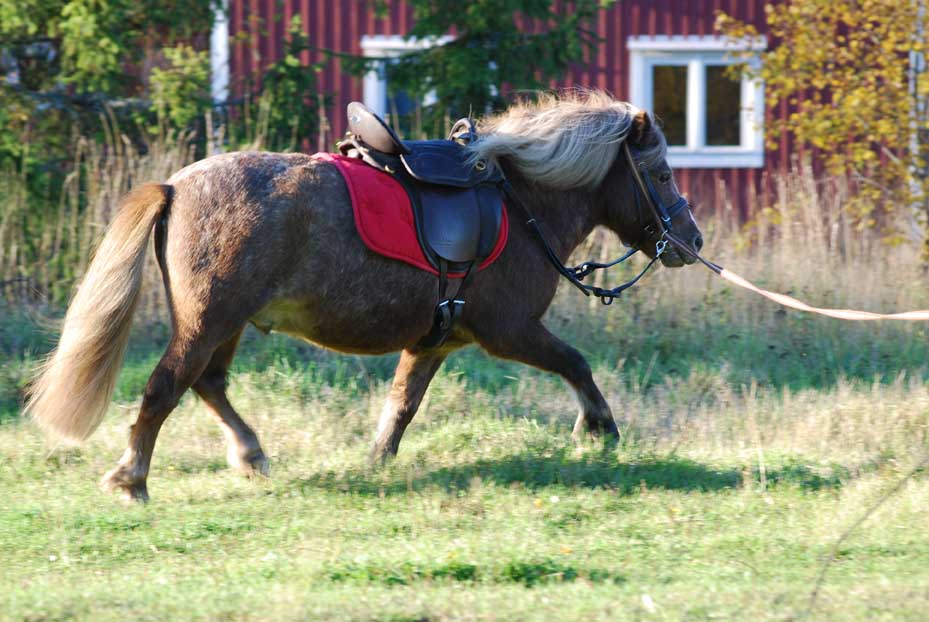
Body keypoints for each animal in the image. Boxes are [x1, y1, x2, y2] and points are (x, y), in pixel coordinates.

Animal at [25, 91, 700, 502]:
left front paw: (376, 460)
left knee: (208, 385)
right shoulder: (508, 331)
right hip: (208, 320)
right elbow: (575, 363)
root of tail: (174, 185)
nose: (689, 242)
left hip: (228, 323)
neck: (520, 203)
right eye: (662, 173)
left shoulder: (438, 340)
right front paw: (600, 428)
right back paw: (132, 478)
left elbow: (401, 405)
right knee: (166, 386)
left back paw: (249, 455)